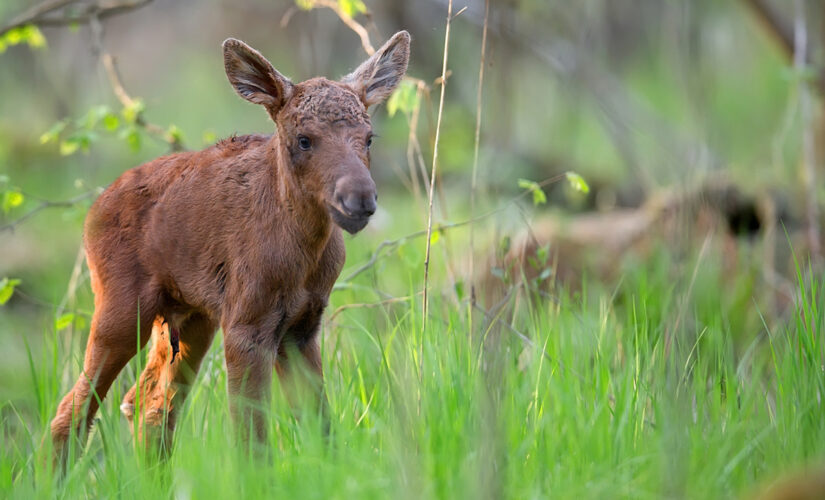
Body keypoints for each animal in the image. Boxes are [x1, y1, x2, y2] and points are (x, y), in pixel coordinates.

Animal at [48, 30, 408, 460]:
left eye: (369, 138)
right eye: (304, 140)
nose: (360, 198)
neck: (304, 254)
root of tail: (94, 207)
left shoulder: (302, 327)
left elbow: (321, 429)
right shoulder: (246, 325)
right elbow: (252, 440)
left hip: (188, 318)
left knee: (148, 405)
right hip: (121, 309)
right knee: (72, 410)